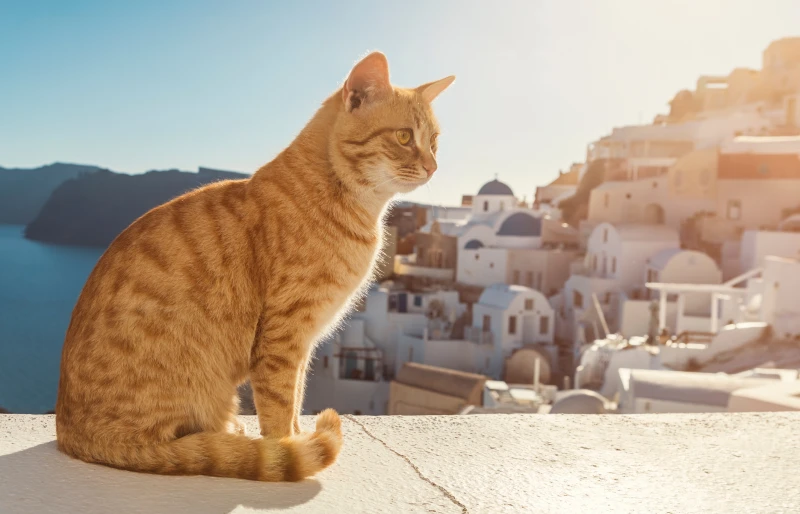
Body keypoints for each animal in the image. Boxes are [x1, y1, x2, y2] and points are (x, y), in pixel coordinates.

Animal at [54, 52, 456, 480]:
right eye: (404, 137)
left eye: (434, 141)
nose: (433, 167)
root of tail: (70, 433)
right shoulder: (284, 334)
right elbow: (279, 407)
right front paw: (287, 449)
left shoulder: (303, 341)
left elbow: (295, 398)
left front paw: (295, 438)